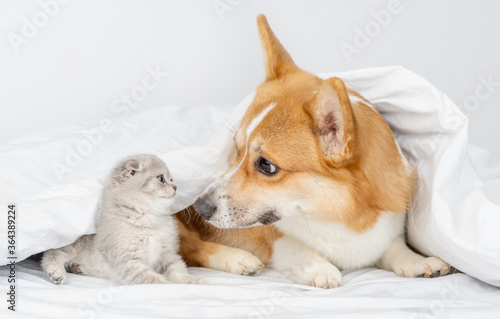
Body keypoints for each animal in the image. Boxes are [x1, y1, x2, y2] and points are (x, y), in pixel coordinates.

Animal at [40, 154, 205, 286]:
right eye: (161, 178)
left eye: (171, 179)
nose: (176, 187)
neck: (148, 221)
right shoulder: (127, 261)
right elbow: (151, 279)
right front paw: (169, 285)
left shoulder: (167, 253)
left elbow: (177, 268)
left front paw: (191, 280)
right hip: (73, 245)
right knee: (52, 253)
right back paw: (57, 273)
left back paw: (76, 268)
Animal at [178, 15, 452, 288]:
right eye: (236, 150)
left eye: (266, 165)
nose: (200, 207)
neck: (336, 212)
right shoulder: (273, 235)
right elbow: (291, 244)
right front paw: (319, 268)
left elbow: (393, 247)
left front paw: (419, 262)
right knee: (187, 245)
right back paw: (236, 258)